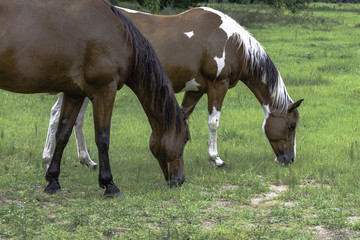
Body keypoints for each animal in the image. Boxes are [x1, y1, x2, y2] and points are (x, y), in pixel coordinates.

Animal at [0, 0, 190, 196]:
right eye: (185, 138)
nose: (179, 180)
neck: (122, 38)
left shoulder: (74, 94)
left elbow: (63, 134)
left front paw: (53, 180)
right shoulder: (105, 92)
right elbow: (102, 137)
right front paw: (109, 184)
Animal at [42, 6, 302, 171]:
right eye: (291, 126)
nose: (289, 160)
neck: (231, 43)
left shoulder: (196, 90)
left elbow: (183, 118)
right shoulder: (218, 86)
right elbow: (214, 122)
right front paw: (216, 159)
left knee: (72, 118)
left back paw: (85, 161)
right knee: (59, 115)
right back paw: (48, 160)